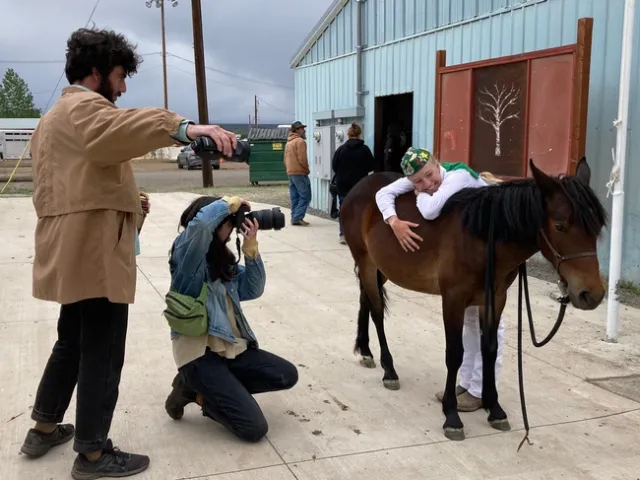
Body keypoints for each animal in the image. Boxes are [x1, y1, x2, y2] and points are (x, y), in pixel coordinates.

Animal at [339, 157, 607, 441]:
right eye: (559, 226)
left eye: (597, 227)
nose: (592, 294)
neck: (482, 236)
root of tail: (360, 186)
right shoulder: (453, 299)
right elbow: (455, 354)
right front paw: (452, 415)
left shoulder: (494, 298)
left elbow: (489, 349)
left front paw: (494, 408)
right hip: (367, 263)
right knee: (377, 311)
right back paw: (388, 370)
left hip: (381, 269)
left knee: (366, 300)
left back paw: (365, 351)